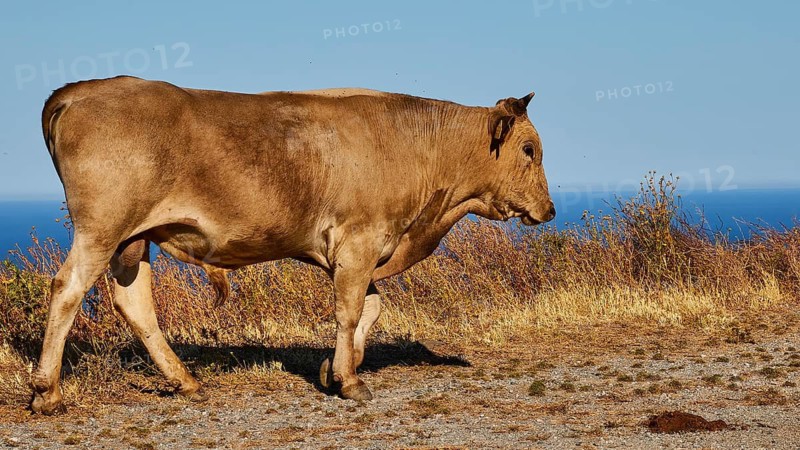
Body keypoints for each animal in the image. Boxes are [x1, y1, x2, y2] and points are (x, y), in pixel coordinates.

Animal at [30, 76, 555, 414]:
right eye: (529, 149)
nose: (549, 209)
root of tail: (81, 89)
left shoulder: (358, 253)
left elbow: (370, 309)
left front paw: (333, 368)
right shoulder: (360, 242)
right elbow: (349, 311)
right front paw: (350, 382)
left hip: (133, 240)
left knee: (134, 303)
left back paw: (186, 382)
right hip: (102, 228)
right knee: (67, 288)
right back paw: (47, 392)